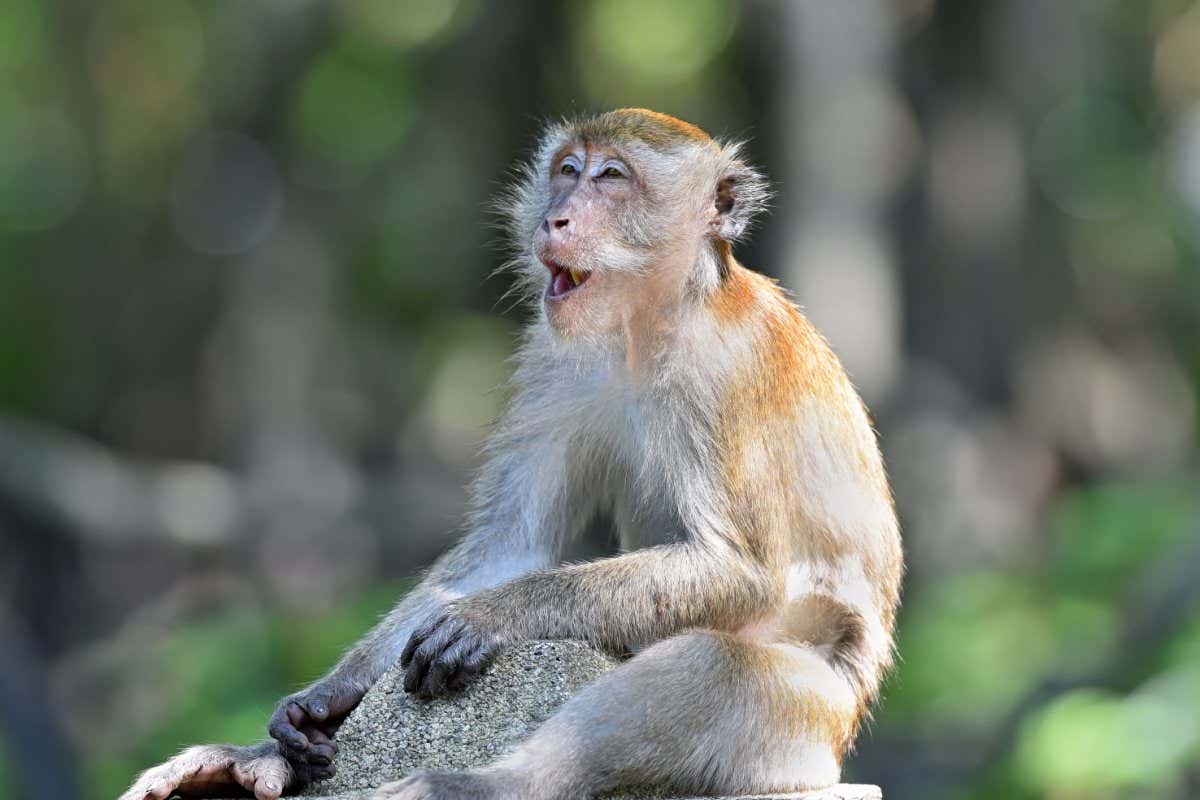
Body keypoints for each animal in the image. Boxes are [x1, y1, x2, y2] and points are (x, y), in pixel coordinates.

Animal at [120, 108, 902, 800]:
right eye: (567, 171)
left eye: (611, 177)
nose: (554, 218)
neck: (648, 326)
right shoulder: (551, 358)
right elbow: (508, 544)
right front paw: (328, 695)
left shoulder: (725, 375)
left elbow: (739, 572)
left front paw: (495, 614)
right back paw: (257, 765)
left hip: (806, 729)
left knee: (715, 667)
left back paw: (479, 785)